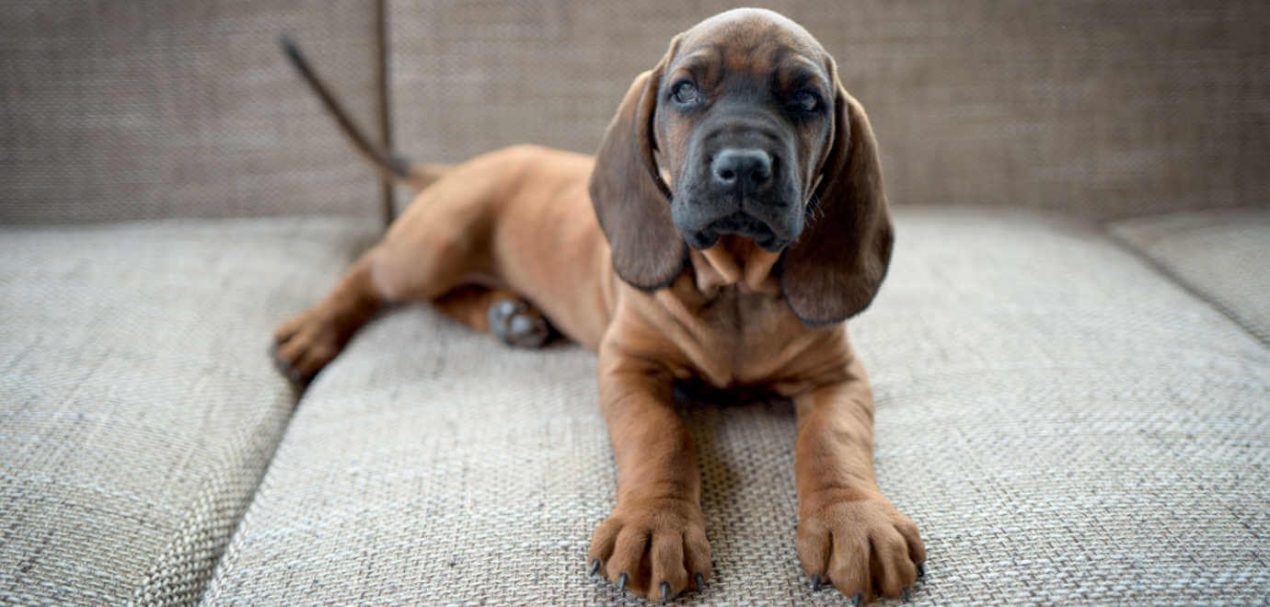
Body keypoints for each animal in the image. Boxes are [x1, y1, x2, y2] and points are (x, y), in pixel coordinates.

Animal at [275, 8, 924, 601]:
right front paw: (654, 525)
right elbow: (661, 437)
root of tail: (464, 166)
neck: (736, 289)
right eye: (685, 91)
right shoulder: (629, 367)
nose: (742, 167)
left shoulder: (837, 378)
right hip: (432, 246)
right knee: (370, 273)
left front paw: (855, 521)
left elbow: (832, 444)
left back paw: (508, 315)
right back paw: (312, 332)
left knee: (445, 298)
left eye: (808, 100)